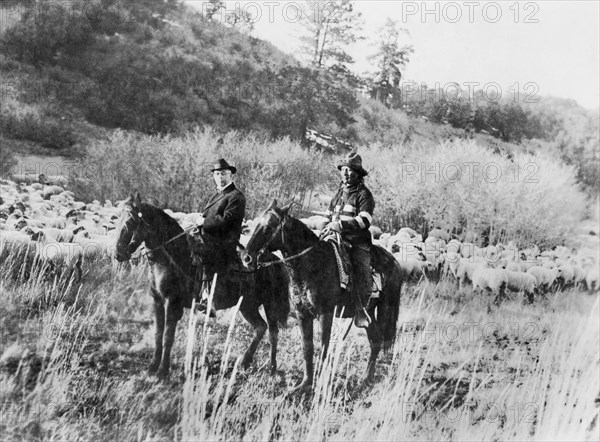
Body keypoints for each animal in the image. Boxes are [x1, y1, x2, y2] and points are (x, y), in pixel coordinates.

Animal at [115, 194, 290, 380]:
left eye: (130, 222)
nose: (118, 254)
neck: (171, 258)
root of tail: (275, 261)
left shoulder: (171, 302)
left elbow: (168, 336)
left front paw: (162, 370)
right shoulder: (158, 301)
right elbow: (158, 334)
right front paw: (152, 367)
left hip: (270, 304)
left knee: (273, 332)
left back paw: (272, 368)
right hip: (247, 305)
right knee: (260, 327)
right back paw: (244, 362)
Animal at [240, 199, 404, 392]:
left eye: (270, 226)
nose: (247, 257)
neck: (312, 265)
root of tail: (394, 261)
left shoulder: (326, 314)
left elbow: (323, 347)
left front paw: (319, 382)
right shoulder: (303, 314)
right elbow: (307, 347)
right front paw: (305, 383)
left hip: (386, 307)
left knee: (380, 339)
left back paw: (366, 378)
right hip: (369, 312)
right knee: (375, 340)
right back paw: (365, 378)